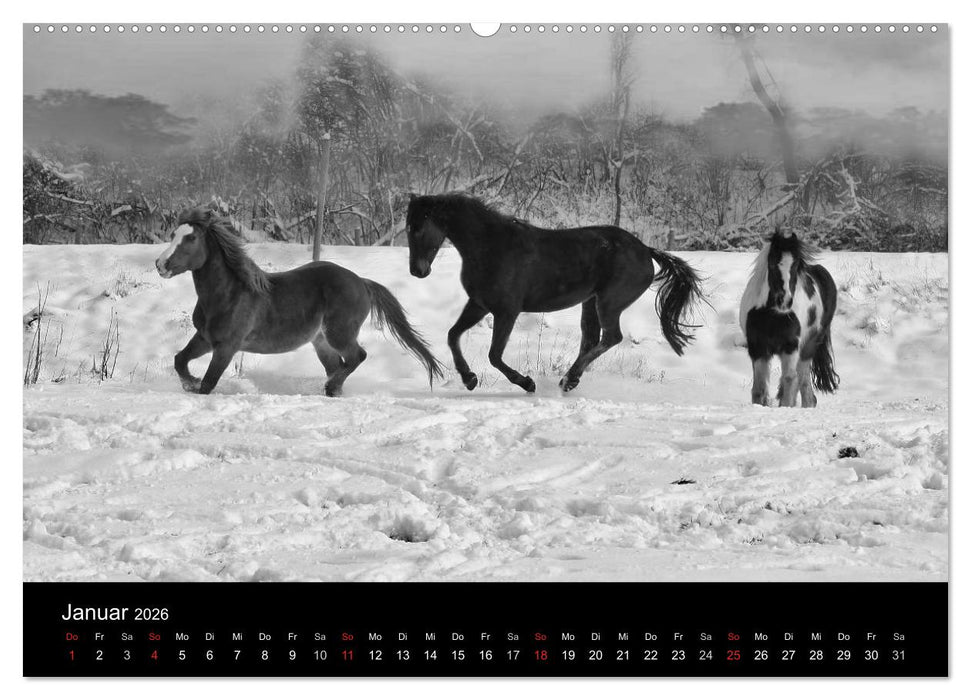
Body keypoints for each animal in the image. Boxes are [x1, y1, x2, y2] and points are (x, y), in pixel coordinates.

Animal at [155, 207, 443, 396]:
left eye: (191, 238)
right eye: (173, 234)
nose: (160, 264)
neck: (228, 294)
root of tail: (361, 282)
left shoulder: (227, 346)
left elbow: (208, 384)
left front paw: (195, 384)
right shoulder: (204, 338)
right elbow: (180, 360)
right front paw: (189, 382)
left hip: (339, 334)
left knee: (356, 357)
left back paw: (330, 386)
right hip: (321, 342)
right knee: (338, 366)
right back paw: (332, 389)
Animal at [405, 193, 705, 393]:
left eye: (418, 228)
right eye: (409, 227)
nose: (417, 271)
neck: (491, 246)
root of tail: (645, 250)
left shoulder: (506, 311)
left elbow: (494, 355)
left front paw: (527, 383)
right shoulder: (479, 304)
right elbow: (453, 335)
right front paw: (469, 379)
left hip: (609, 303)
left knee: (611, 337)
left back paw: (569, 379)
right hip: (590, 302)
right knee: (591, 339)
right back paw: (570, 380)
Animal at [739, 228, 839, 408]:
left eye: (796, 265)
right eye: (772, 262)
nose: (784, 301)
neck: (772, 315)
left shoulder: (790, 346)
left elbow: (790, 381)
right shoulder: (757, 348)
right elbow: (759, 389)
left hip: (808, 347)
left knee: (804, 387)